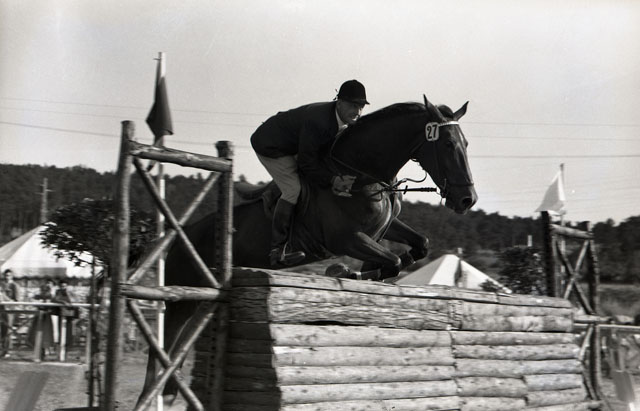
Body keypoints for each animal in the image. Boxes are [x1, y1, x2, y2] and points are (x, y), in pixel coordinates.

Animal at [138, 95, 477, 405]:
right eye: (448, 144)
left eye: (466, 143)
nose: (467, 200)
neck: (363, 172)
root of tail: (177, 236)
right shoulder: (346, 239)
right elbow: (391, 259)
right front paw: (345, 271)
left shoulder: (383, 229)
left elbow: (419, 246)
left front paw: (360, 272)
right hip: (183, 298)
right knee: (164, 346)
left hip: (199, 300)